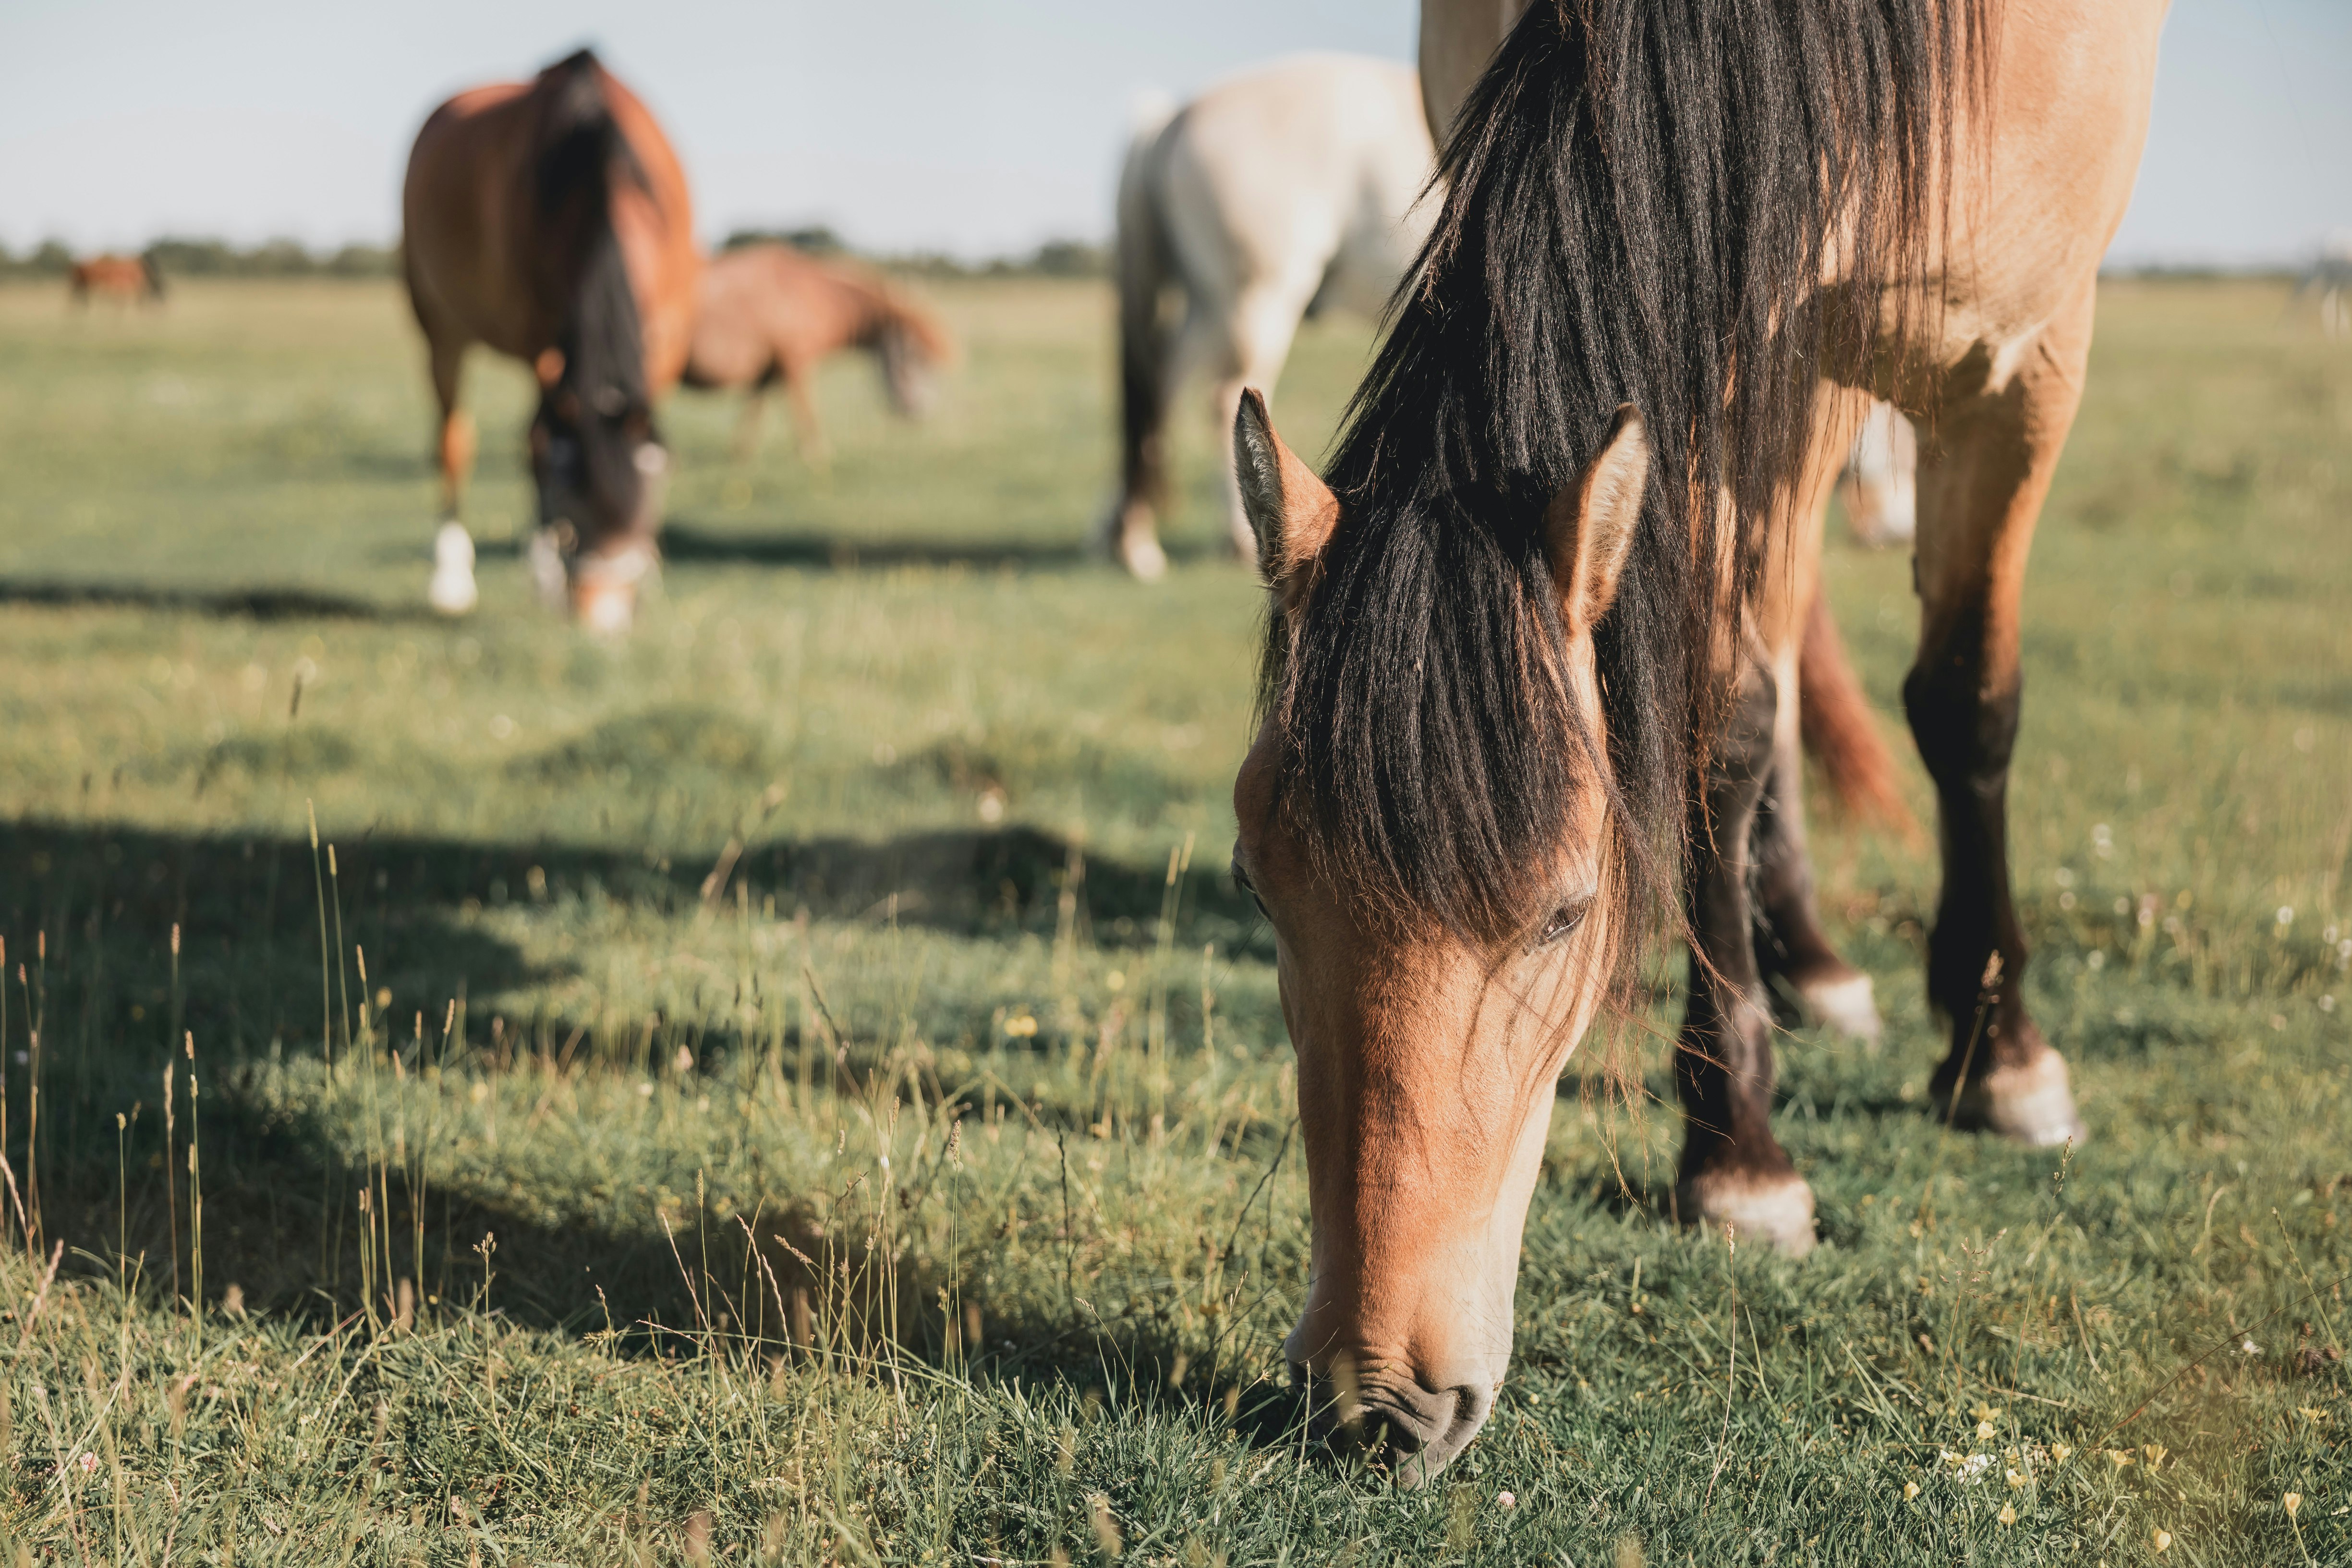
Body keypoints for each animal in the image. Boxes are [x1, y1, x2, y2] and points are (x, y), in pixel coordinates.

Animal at [402, 52, 696, 634]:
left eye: (647, 499)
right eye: (568, 508)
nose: (601, 617)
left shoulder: (667, 335)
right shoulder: (543, 338)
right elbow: (539, 441)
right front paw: (545, 574)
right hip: (439, 325)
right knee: (454, 438)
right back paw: (452, 578)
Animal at [687, 242, 959, 470]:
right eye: (913, 357)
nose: (920, 412)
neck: (809, 293)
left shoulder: (769, 371)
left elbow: (756, 409)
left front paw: (741, 454)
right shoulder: (796, 362)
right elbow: (805, 409)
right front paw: (815, 454)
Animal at [1101, 55, 1430, 585]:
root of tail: (1173, 118)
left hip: (1209, 303)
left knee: (1160, 390)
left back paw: (1130, 537)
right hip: (1255, 298)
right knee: (1219, 397)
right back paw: (1233, 539)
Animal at [1232, 0, 2164, 1485]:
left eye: (1565, 913)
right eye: (1259, 890)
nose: (1374, 1402)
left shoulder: (2020, 362)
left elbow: (1965, 697)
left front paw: (1994, 1060)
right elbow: (1719, 719)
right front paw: (1739, 1140)